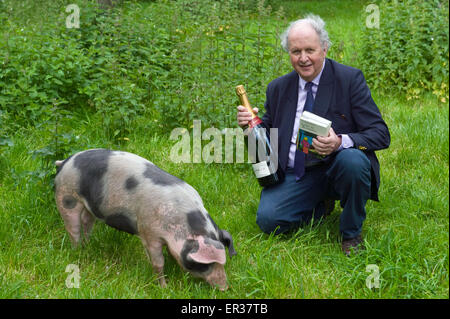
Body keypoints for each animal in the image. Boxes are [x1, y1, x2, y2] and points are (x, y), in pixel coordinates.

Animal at [53, 149, 236, 292]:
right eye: (205, 264)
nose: (225, 288)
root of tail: (65, 162)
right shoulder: (149, 231)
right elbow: (158, 262)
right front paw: (164, 287)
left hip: (89, 206)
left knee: (86, 221)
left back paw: (86, 246)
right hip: (66, 196)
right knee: (73, 228)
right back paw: (77, 251)